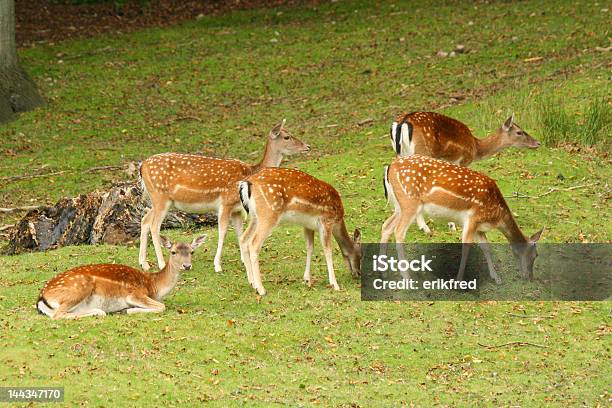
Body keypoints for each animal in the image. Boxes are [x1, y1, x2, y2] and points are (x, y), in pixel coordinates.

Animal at [37, 236, 207, 318]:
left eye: (192, 252)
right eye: (173, 252)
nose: (187, 266)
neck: (153, 286)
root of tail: (41, 298)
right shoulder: (135, 294)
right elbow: (162, 306)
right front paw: (129, 310)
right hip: (79, 289)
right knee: (58, 315)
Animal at [140, 121, 310, 274]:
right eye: (287, 137)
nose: (308, 146)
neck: (250, 171)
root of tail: (142, 167)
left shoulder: (237, 209)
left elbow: (240, 233)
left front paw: (243, 260)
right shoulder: (225, 203)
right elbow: (223, 232)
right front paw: (217, 266)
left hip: (158, 200)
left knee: (145, 220)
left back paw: (144, 264)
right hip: (160, 197)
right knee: (154, 226)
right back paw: (161, 263)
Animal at [382, 156, 544, 284]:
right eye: (535, 255)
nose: (530, 277)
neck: (496, 216)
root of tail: (390, 167)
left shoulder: (479, 226)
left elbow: (486, 247)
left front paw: (496, 278)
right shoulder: (473, 218)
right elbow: (466, 247)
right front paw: (458, 281)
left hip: (400, 205)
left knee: (386, 226)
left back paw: (383, 271)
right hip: (410, 202)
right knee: (399, 232)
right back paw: (407, 277)